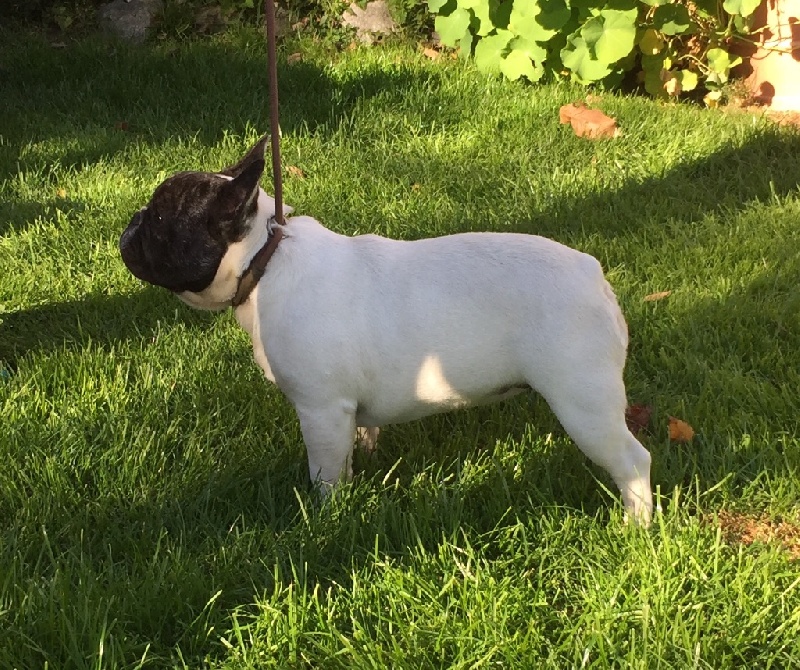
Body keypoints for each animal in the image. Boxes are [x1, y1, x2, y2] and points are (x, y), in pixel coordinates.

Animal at [119, 136, 653, 523]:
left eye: (161, 217)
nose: (133, 221)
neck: (264, 261)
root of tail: (593, 274)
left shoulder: (321, 410)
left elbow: (326, 473)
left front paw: (327, 516)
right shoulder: (346, 411)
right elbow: (359, 442)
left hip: (582, 400)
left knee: (633, 461)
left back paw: (635, 525)